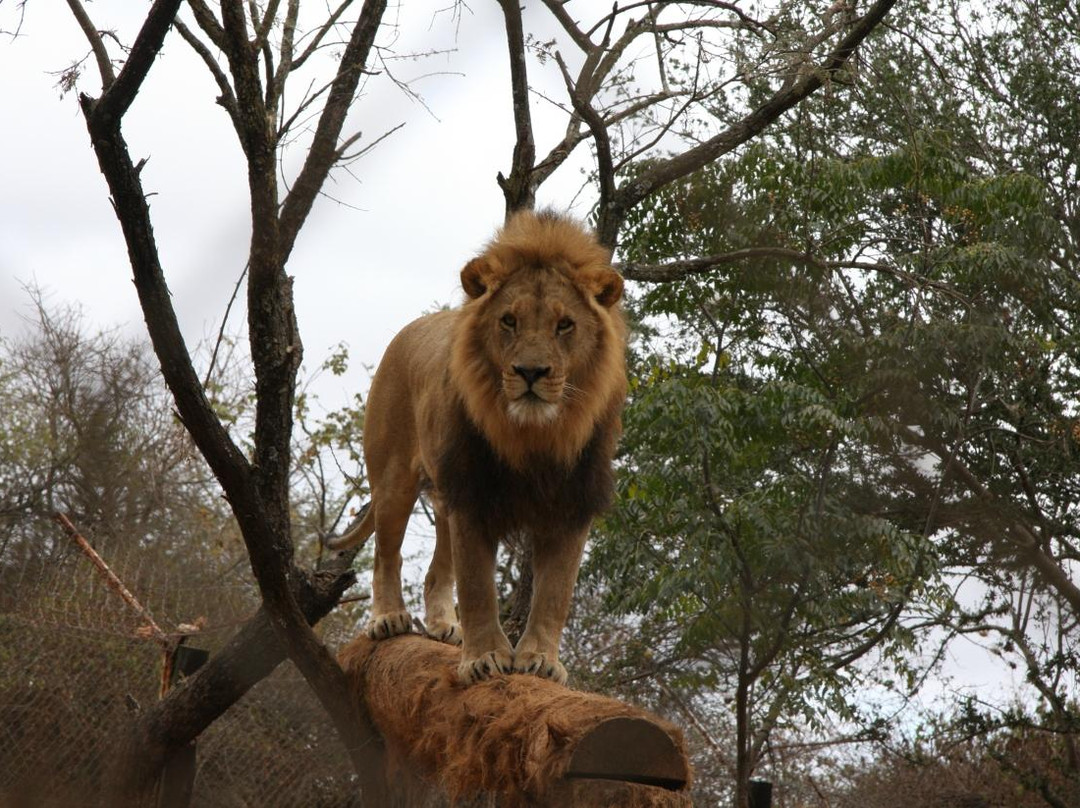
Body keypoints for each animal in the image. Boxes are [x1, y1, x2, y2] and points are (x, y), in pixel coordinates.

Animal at [328, 211, 630, 687]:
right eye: (509, 321)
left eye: (565, 325)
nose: (530, 372)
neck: (533, 435)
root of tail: (412, 328)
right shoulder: (471, 494)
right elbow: (476, 586)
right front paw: (485, 657)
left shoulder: (573, 502)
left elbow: (555, 593)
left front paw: (540, 659)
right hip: (395, 479)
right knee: (386, 554)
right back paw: (388, 618)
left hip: (442, 498)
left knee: (436, 571)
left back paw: (443, 625)